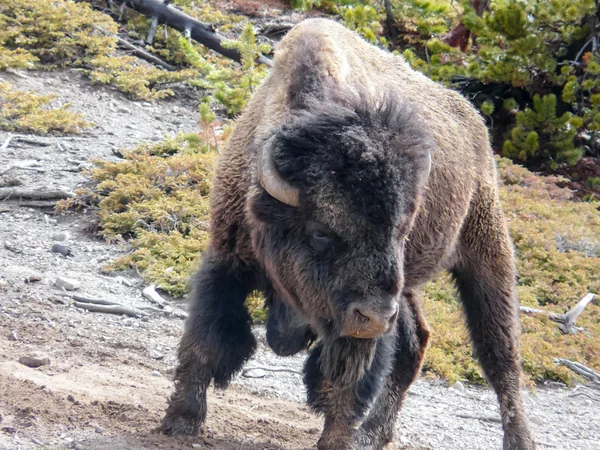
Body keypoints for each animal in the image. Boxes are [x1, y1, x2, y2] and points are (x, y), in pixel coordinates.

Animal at [161, 18, 536, 450]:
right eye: (321, 231)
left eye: (401, 230)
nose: (374, 316)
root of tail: (477, 126)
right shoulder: (227, 258)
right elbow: (206, 339)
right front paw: (180, 422)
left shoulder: (360, 318)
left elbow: (347, 379)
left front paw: (336, 441)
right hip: (409, 288)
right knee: (416, 343)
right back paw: (374, 434)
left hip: (485, 255)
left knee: (501, 357)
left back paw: (519, 440)